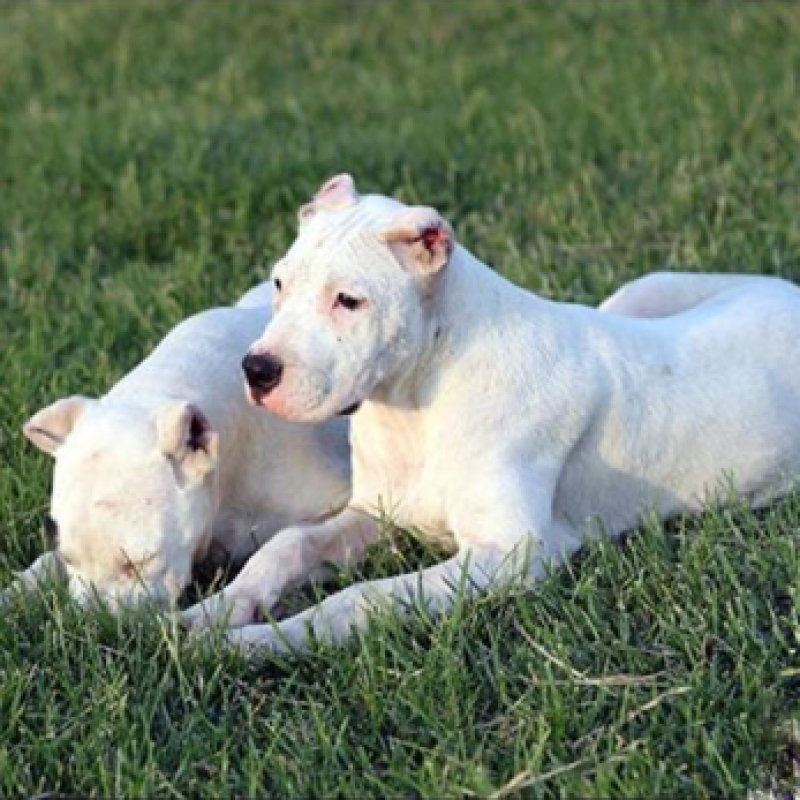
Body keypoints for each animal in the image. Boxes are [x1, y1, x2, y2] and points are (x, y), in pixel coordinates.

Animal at [184, 172, 800, 652]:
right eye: (279, 283)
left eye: (349, 301)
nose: (256, 370)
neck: (415, 404)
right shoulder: (374, 512)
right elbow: (288, 545)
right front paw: (214, 613)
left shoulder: (511, 556)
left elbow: (361, 598)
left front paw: (262, 642)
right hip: (641, 291)